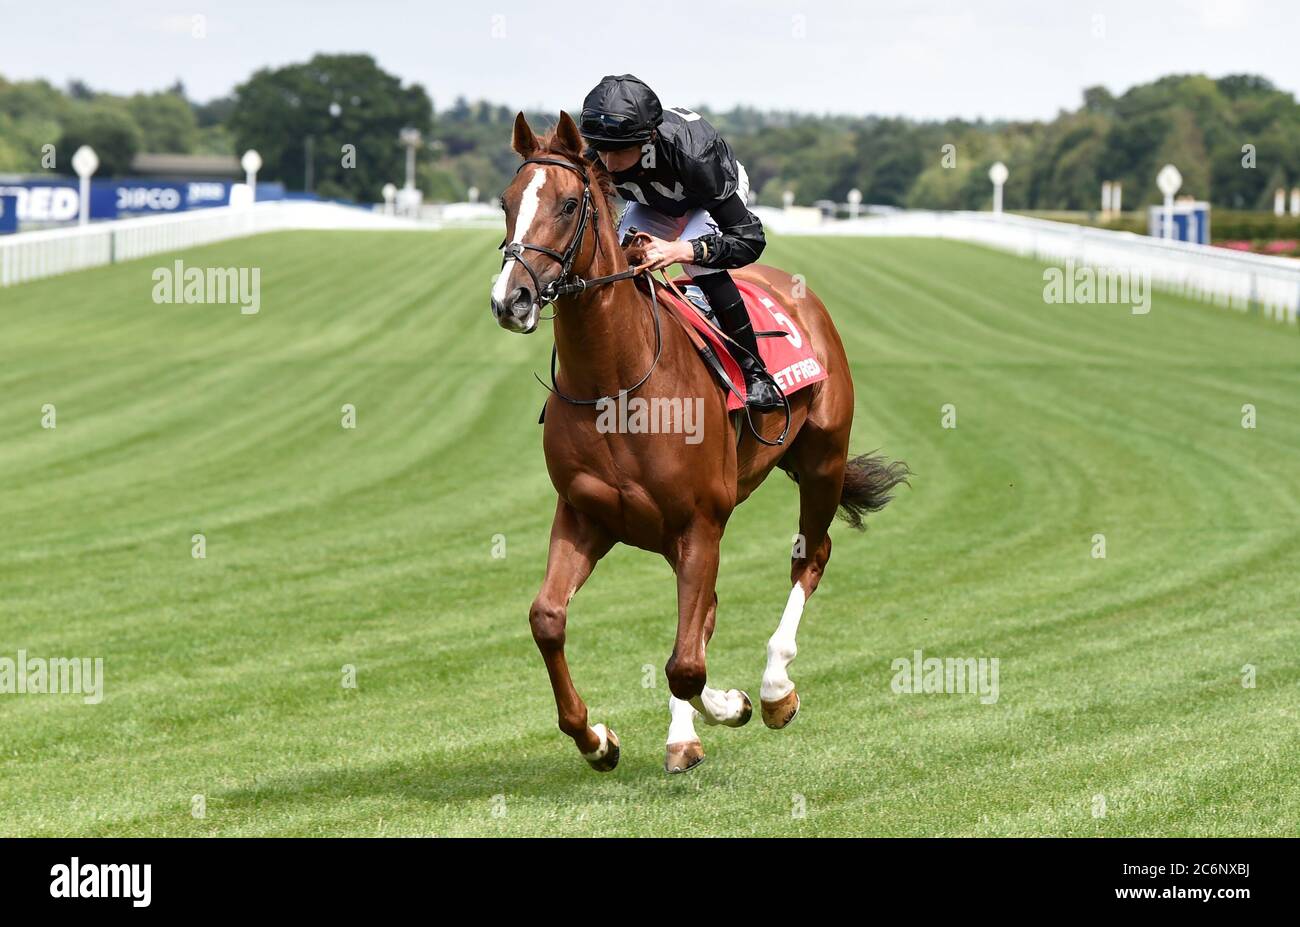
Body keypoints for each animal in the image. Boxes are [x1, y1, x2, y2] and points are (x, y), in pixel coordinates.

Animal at [488, 110, 904, 774]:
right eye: (506, 202)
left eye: (569, 203)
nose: (512, 299)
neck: (617, 383)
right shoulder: (586, 514)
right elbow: (549, 619)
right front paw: (597, 739)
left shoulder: (700, 521)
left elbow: (685, 664)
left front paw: (733, 704)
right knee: (702, 614)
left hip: (822, 461)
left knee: (808, 559)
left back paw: (774, 691)